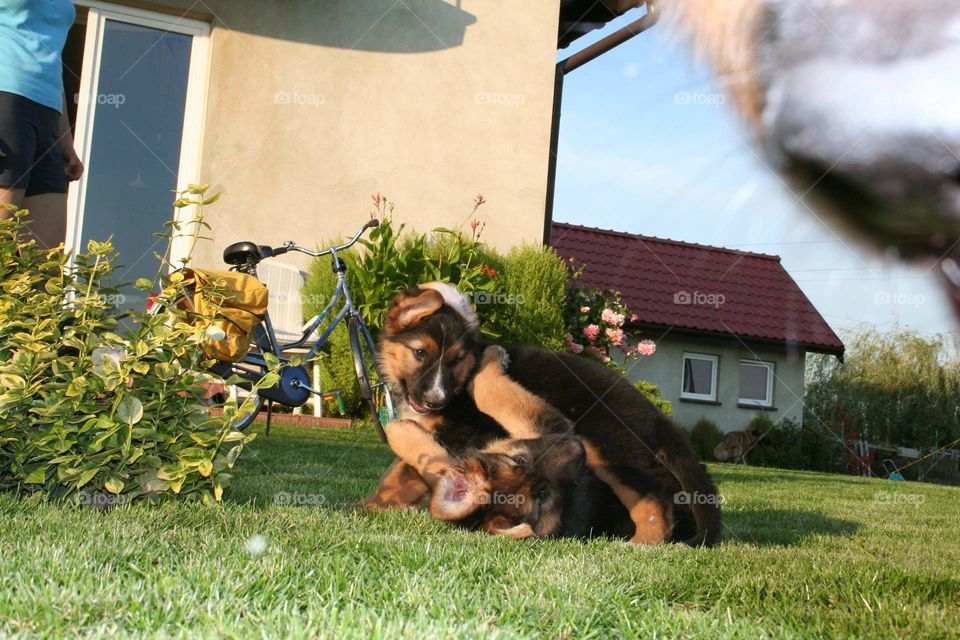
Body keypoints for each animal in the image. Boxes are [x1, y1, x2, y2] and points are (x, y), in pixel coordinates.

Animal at [368, 284, 720, 544]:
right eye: (419, 353)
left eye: (456, 361)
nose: (435, 401)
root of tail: (655, 414)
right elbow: (398, 473)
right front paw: (372, 506)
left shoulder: (461, 435)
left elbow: (411, 468)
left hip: (609, 449)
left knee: (653, 501)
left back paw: (640, 544)